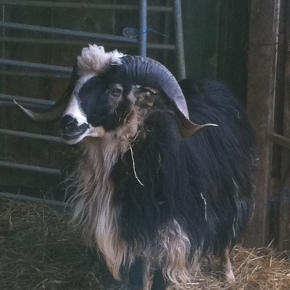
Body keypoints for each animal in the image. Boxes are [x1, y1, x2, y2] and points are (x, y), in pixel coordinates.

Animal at [16, 45, 256, 290]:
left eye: (115, 90)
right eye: (77, 85)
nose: (68, 123)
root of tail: (210, 84)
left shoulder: (162, 229)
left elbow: (154, 273)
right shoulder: (127, 227)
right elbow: (139, 273)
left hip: (231, 191)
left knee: (227, 231)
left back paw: (228, 275)